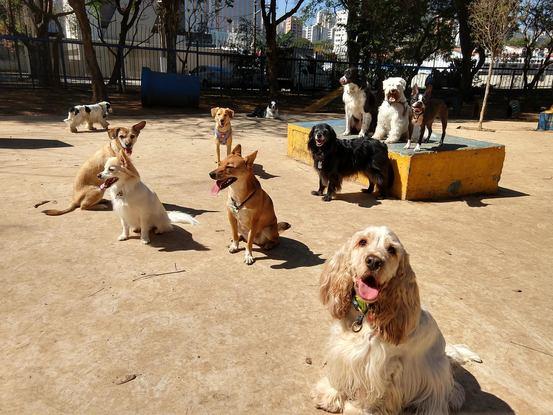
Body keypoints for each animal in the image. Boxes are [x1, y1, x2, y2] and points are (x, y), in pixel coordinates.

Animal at [312, 228, 480, 415]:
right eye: (362, 242)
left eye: (391, 250)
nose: (374, 261)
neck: (364, 314)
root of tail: (447, 355)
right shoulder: (341, 350)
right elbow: (338, 377)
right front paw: (330, 396)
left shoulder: (377, 367)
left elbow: (368, 394)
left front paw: (356, 410)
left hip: (437, 376)